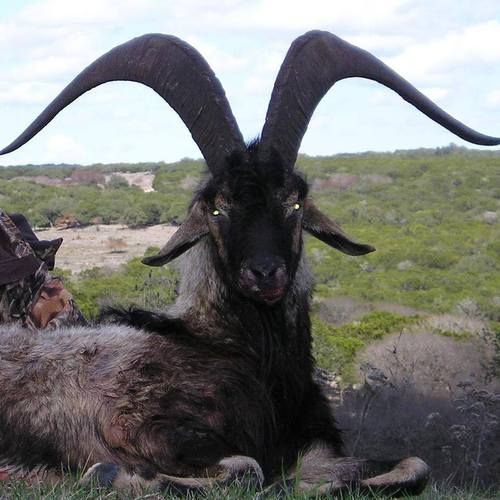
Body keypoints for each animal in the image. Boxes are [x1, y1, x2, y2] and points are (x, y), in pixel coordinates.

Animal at [0, 31, 498, 496]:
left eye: (294, 201)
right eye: (217, 207)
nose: (264, 273)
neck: (240, 354)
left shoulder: (313, 447)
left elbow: (415, 465)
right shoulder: (140, 428)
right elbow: (247, 468)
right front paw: (111, 474)